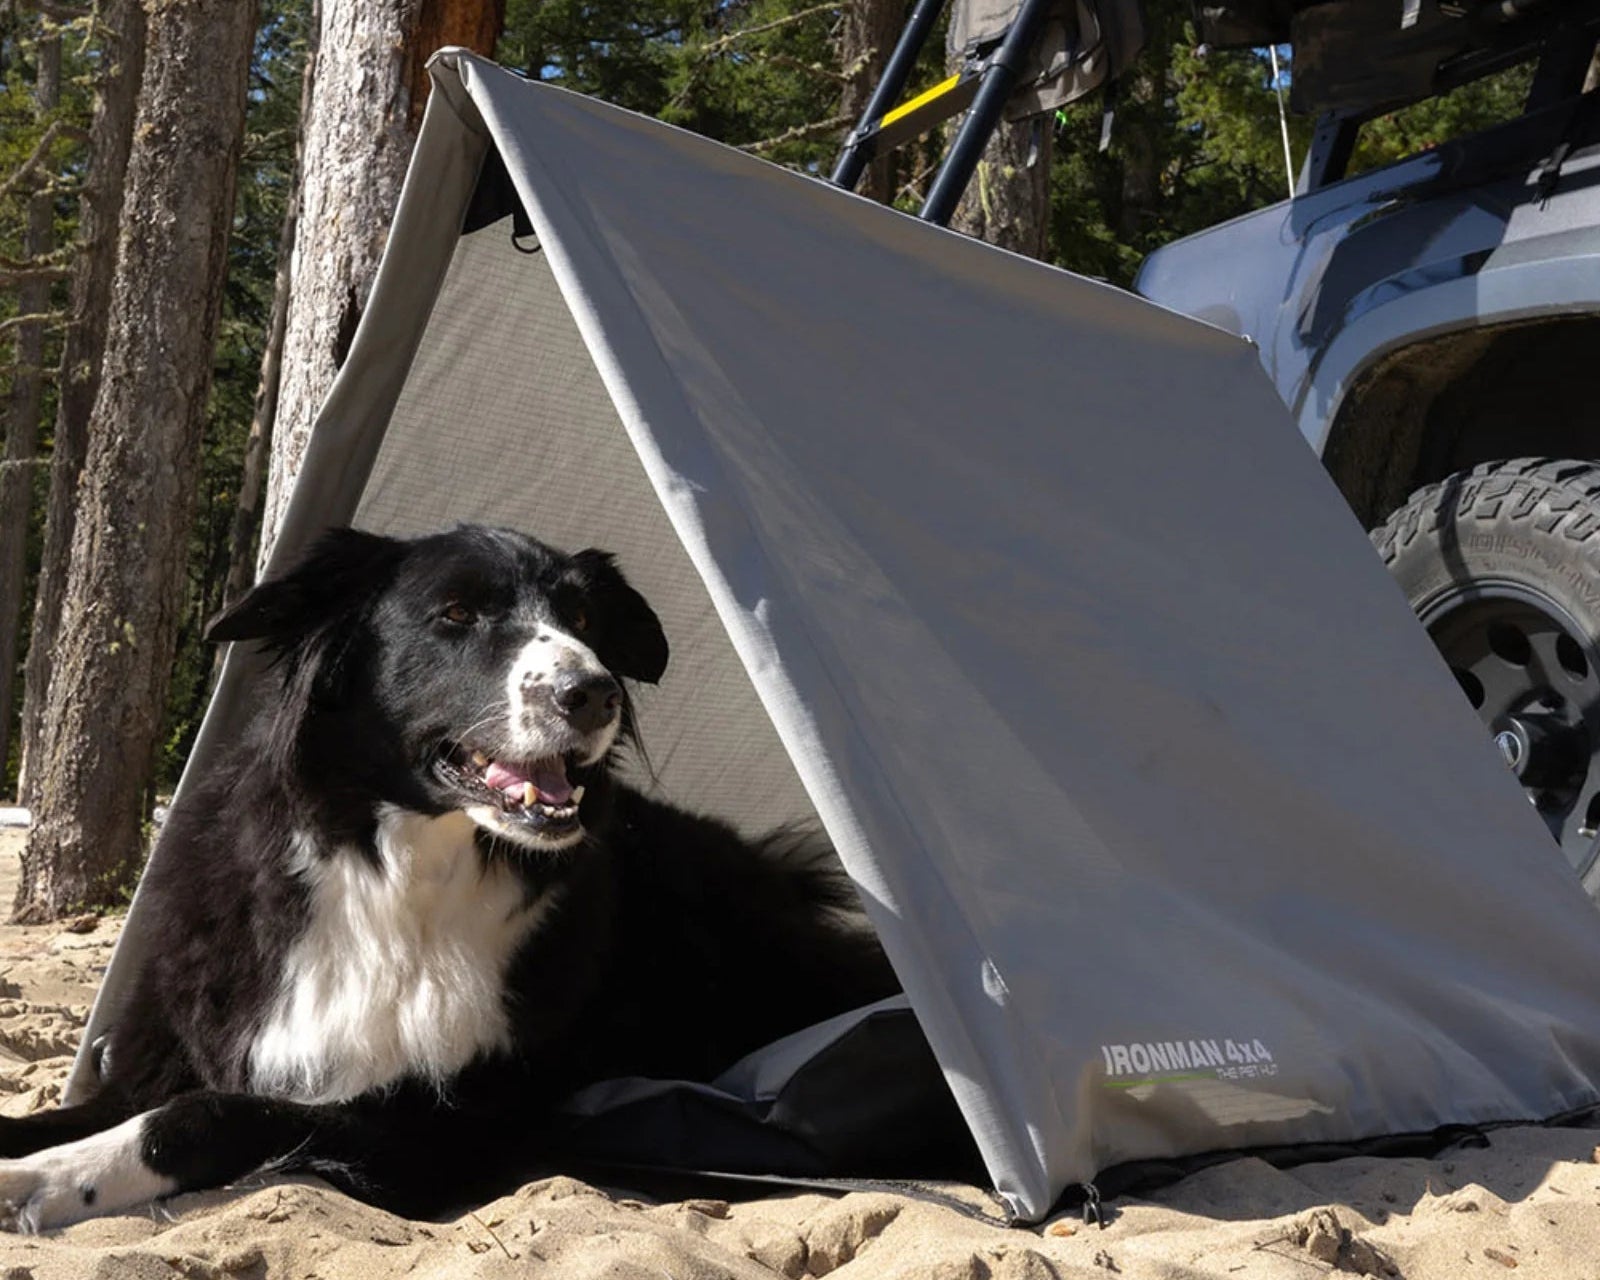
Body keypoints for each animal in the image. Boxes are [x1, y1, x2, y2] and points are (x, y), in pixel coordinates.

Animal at [0, 525, 900, 1230]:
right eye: (457, 614)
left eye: (582, 620)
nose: (595, 691)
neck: (401, 879)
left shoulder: (436, 1127)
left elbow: (210, 1112)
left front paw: (52, 1177)